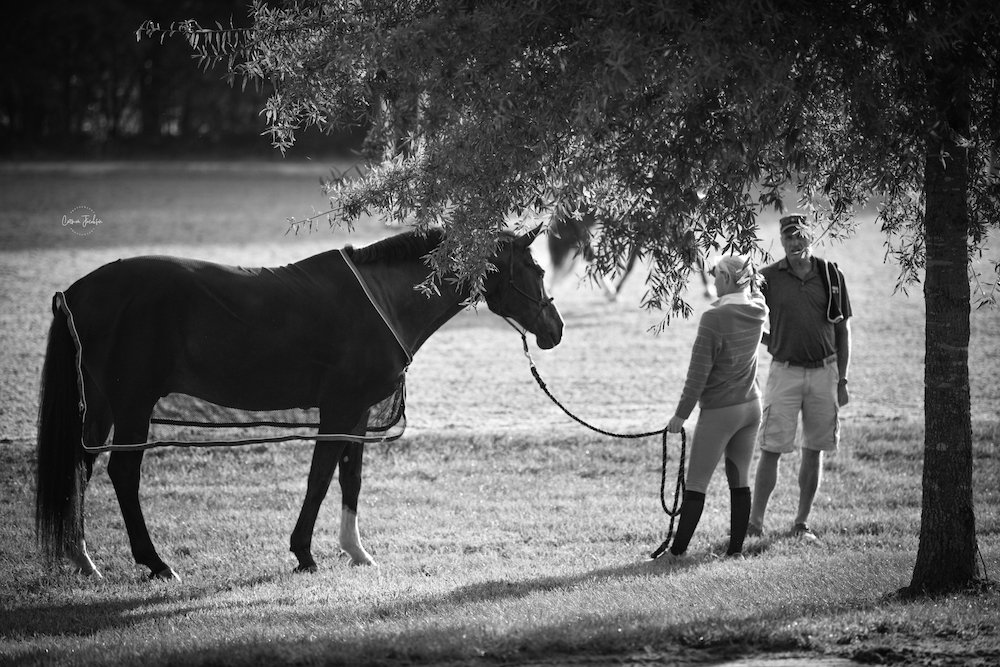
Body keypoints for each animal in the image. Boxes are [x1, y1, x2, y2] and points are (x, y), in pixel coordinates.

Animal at [35, 227, 563, 580]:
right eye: (536, 269)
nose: (554, 329)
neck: (384, 301)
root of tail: (77, 293)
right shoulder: (340, 408)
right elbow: (320, 477)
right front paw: (305, 553)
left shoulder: (357, 413)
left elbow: (350, 478)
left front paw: (356, 552)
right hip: (132, 404)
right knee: (122, 474)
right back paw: (156, 563)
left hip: (100, 405)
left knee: (80, 465)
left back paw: (84, 561)